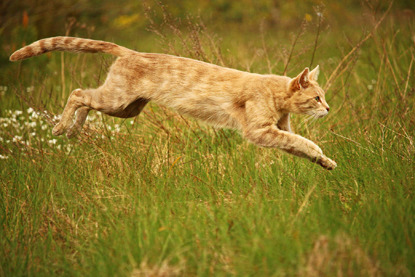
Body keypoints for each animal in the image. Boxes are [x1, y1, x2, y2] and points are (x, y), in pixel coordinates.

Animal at [9, 36, 338, 169]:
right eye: (317, 97)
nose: (328, 109)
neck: (277, 96)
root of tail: (129, 51)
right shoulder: (259, 131)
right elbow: (304, 142)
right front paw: (322, 155)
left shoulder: (279, 130)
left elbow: (298, 145)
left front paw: (325, 163)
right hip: (116, 100)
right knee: (78, 93)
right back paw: (62, 128)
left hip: (126, 109)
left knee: (85, 100)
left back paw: (74, 130)